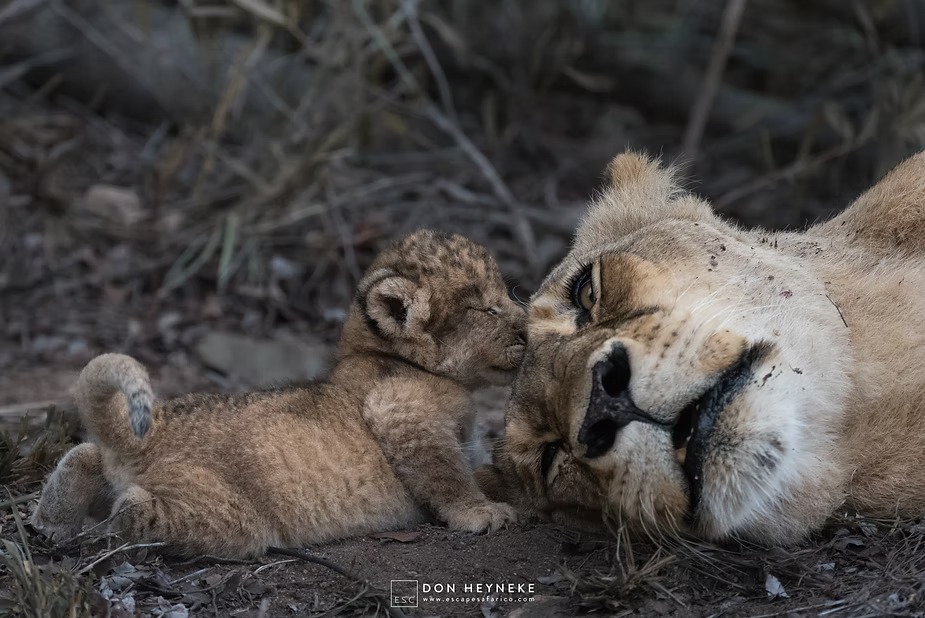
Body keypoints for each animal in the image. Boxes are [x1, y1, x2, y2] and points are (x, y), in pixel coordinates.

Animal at [31, 230, 525, 558]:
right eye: (487, 308)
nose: (527, 328)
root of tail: (143, 434)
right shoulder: (399, 408)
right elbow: (444, 470)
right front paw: (481, 513)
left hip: (103, 457)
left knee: (80, 457)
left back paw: (47, 527)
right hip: (232, 516)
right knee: (131, 507)